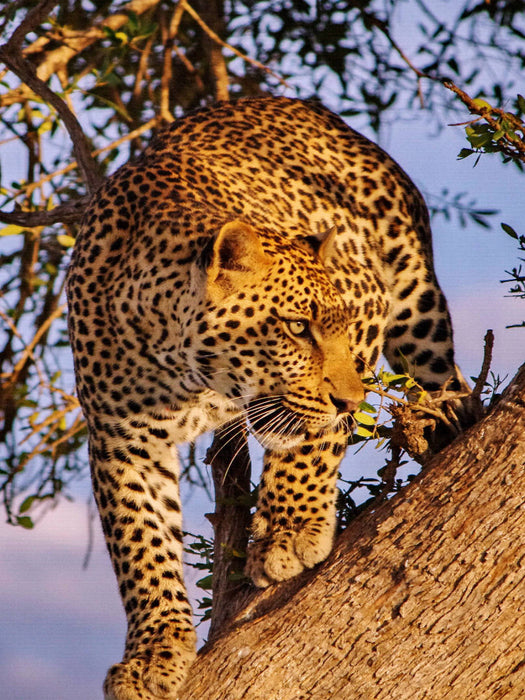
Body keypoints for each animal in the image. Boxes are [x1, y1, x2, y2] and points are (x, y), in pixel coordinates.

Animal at [67, 96, 465, 699]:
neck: (187, 371)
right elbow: (141, 545)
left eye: (339, 326)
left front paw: (291, 532)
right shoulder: (121, 439)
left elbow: (312, 443)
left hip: (417, 309)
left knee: (449, 381)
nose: (352, 402)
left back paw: (450, 423)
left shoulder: (368, 302)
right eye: (298, 328)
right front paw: (153, 654)